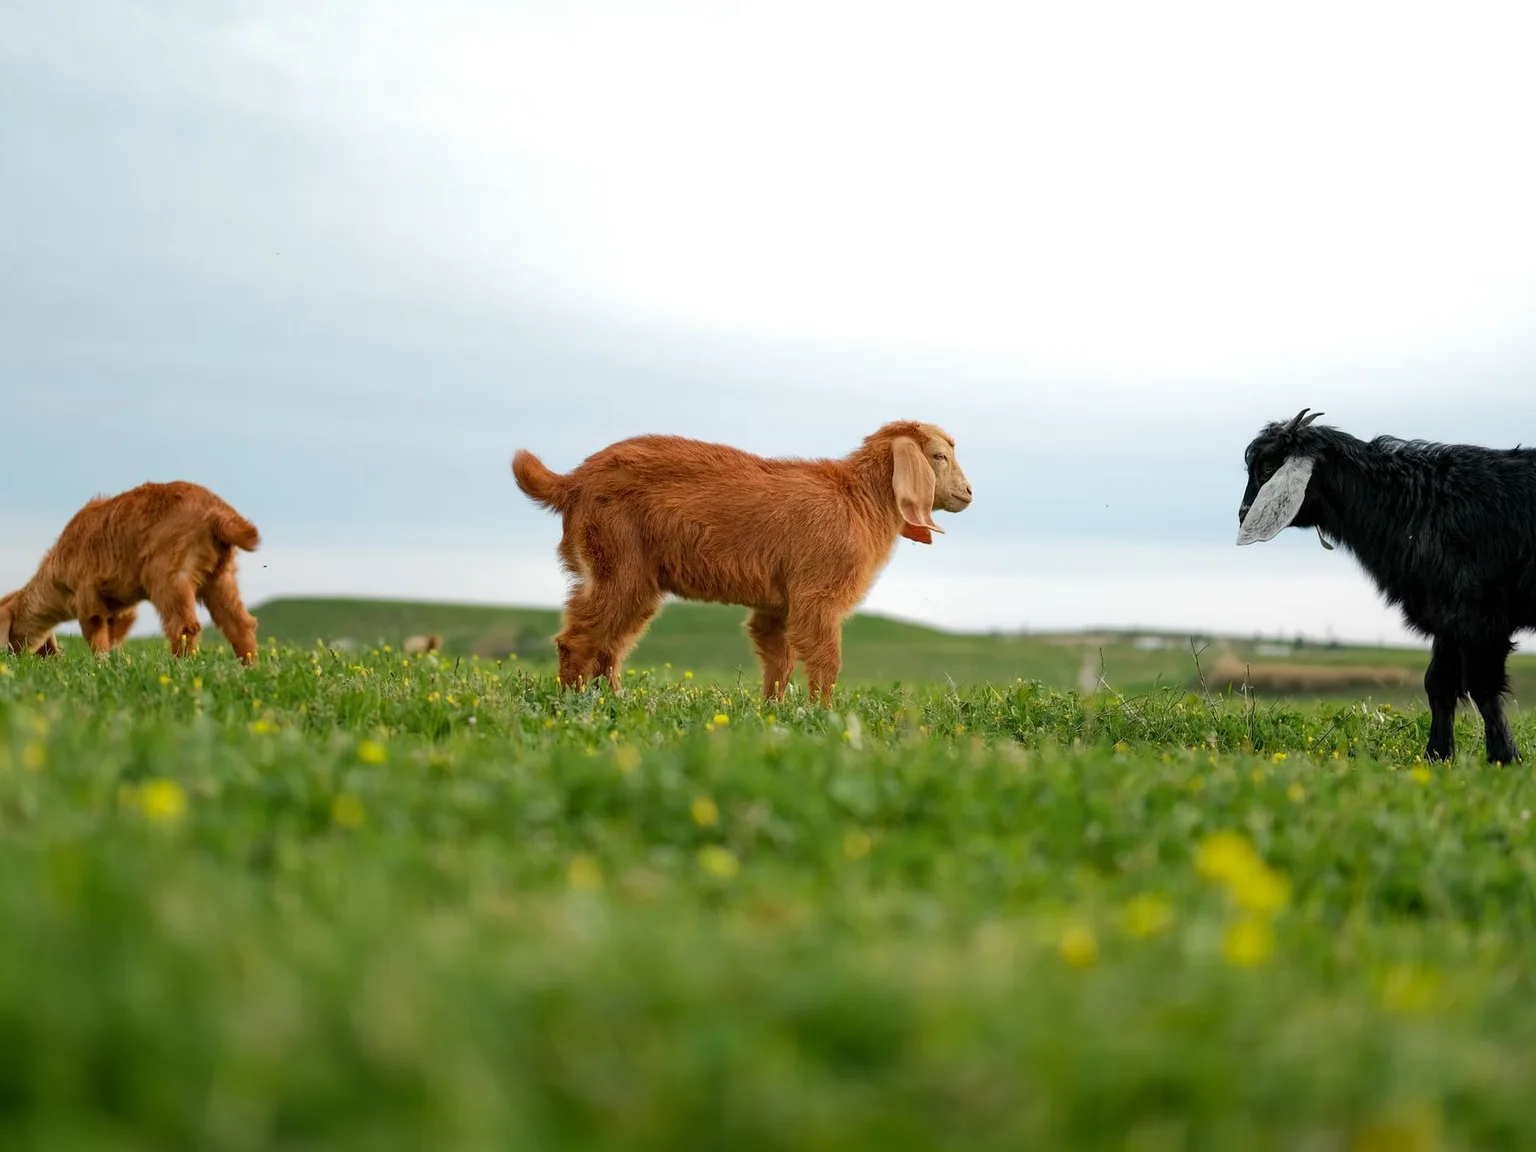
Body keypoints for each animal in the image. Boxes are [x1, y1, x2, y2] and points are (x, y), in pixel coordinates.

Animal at [0, 481, 261, 665]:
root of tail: (219, 513)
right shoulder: (121, 606)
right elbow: (115, 636)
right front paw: (118, 663)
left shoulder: (87, 596)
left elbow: (97, 636)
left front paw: (100, 668)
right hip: (220, 577)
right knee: (240, 623)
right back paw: (249, 668)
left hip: (169, 574)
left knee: (185, 627)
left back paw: (180, 668)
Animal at [512, 421, 972, 704]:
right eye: (938, 456)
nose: (968, 492)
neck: (858, 500)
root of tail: (572, 482)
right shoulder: (817, 595)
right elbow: (826, 659)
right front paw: (824, 715)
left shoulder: (778, 604)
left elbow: (778, 658)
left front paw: (773, 710)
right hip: (619, 564)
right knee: (579, 637)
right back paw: (574, 703)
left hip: (623, 574)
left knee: (610, 642)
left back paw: (613, 699)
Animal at [1237, 407, 1536, 764]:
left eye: (1268, 468)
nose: (1241, 515)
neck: (1418, 502)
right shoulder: (1447, 618)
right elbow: (1438, 683)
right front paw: (1437, 756)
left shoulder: (1478, 617)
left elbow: (1482, 686)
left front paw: (1504, 757)